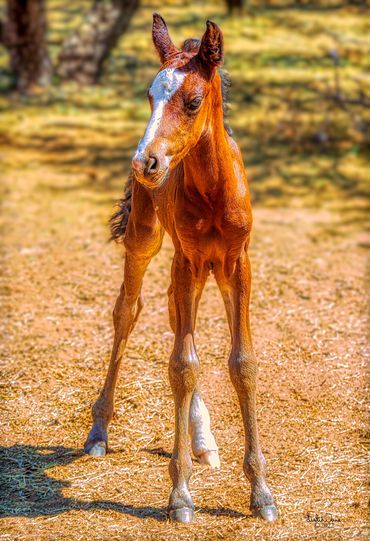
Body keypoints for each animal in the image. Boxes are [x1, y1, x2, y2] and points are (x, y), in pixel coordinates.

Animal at [85, 14, 276, 524]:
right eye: (150, 96)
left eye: (192, 101)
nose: (145, 162)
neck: (213, 193)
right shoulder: (187, 260)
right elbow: (183, 366)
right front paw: (180, 495)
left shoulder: (237, 264)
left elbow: (242, 363)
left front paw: (262, 493)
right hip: (150, 241)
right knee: (127, 312)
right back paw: (99, 431)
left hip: (197, 268)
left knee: (173, 317)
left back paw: (203, 441)